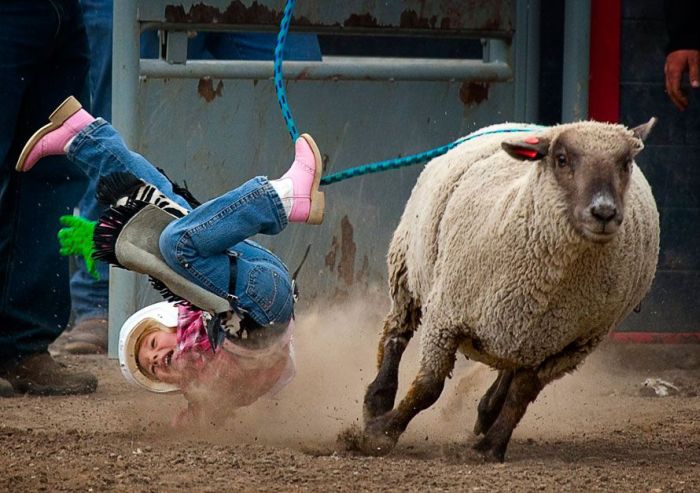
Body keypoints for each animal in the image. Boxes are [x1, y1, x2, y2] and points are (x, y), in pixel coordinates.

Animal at [358, 118, 660, 462]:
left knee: (509, 370)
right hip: (406, 264)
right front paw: (379, 434)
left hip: (526, 333)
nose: (605, 212)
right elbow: (428, 387)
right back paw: (378, 398)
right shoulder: (445, 317)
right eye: (561, 159)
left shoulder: (566, 347)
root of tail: (534, 126)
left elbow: (520, 395)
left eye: (626, 163)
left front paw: (490, 448)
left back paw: (487, 411)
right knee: (396, 333)